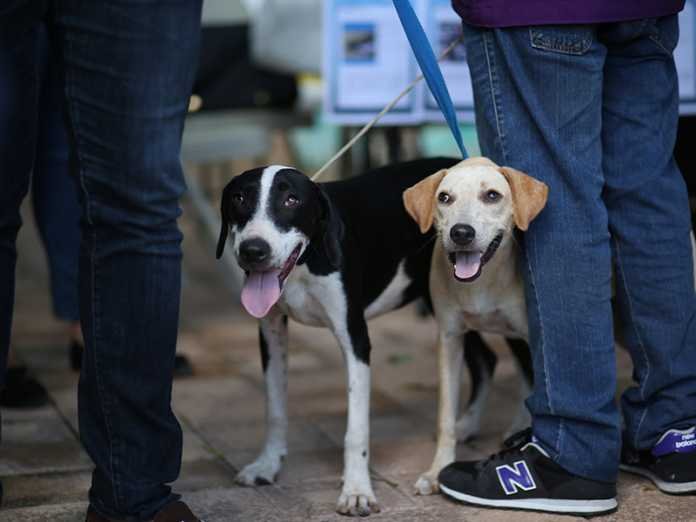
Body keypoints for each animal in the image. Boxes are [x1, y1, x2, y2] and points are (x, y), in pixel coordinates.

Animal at [218, 157, 532, 512]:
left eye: (291, 200)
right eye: (239, 199)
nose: (253, 250)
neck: (306, 260)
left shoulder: (355, 340)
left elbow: (356, 430)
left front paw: (356, 490)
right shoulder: (271, 334)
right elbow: (274, 408)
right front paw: (267, 464)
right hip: (448, 308)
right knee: (486, 360)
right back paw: (466, 425)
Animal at [402, 156, 548, 494]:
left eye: (492, 195)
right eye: (444, 198)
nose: (461, 233)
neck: (481, 282)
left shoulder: (535, 336)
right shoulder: (450, 339)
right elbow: (445, 415)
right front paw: (437, 470)